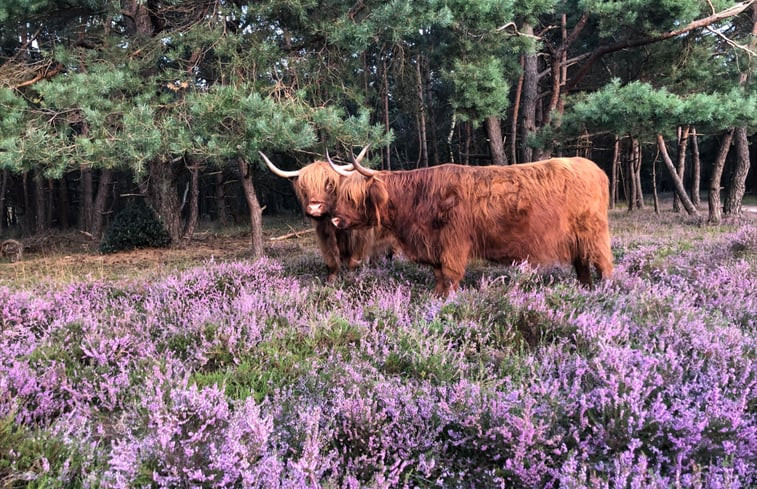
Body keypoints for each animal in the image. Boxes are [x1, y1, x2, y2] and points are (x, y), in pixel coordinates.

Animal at [260, 149, 392, 280]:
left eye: (329, 185)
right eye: (304, 187)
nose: (314, 208)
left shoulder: (361, 236)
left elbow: (354, 261)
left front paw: (351, 278)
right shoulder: (324, 234)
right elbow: (331, 260)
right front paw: (331, 280)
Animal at [328, 157, 612, 294]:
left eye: (352, 197)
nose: (334, 219)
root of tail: (596, 169)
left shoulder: (454, 244)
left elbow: (450, 277)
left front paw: (446, 302)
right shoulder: (436, 247)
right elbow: (439, 277)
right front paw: (435, 299)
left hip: (594, 235)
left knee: (604, 265)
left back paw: (606, 293)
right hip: (577, 240)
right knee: (582, 266)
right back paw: (586, 291)